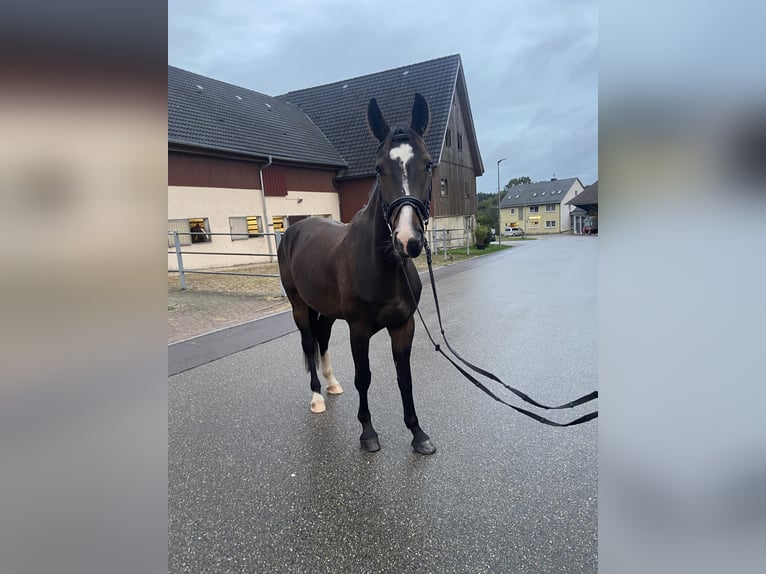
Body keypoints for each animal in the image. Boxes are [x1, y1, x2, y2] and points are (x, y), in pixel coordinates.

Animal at [277, 93, 436, 455]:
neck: (384, 268)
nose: (408, 240)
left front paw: (418, 433)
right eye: (378, 169)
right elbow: (364, 377)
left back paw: (332, 384)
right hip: (299, 306)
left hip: (325, 310)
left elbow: (404, 378)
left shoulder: (403, 325)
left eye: (428, 163)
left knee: (321, 339)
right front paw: (367, 433)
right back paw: (317, 396)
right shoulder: (358, 330)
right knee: (309, 341)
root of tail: (295, 229)